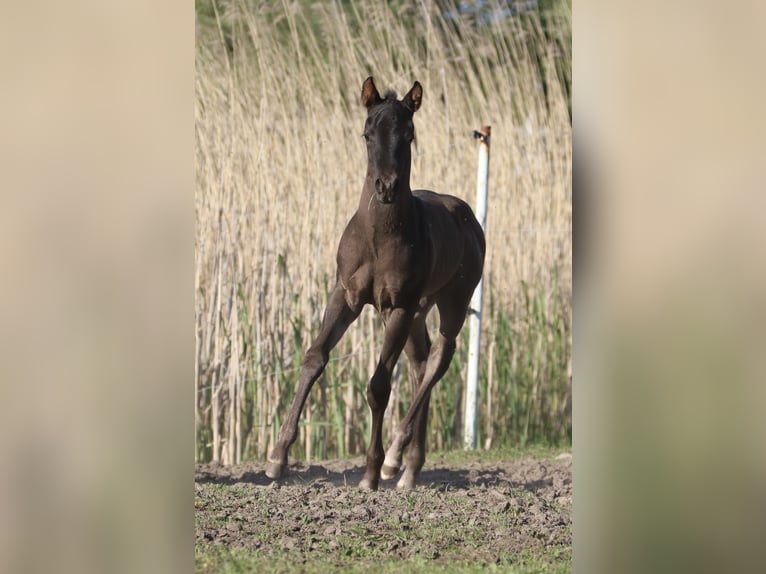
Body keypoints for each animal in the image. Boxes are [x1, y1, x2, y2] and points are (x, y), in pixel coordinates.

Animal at [268, 75, 486, 490]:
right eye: (367, 133)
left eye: (409, 134)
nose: (386, 187)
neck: (378, 238)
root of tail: (467, 214)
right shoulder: (345, 295)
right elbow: (314, 357)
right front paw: (277, 457)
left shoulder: (397, 306)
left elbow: (378, 385)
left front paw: (371, 471)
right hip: (418, 310)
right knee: (420, 362)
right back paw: (409, 467)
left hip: (449, 301)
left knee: (438, 359)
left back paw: (395, 459)